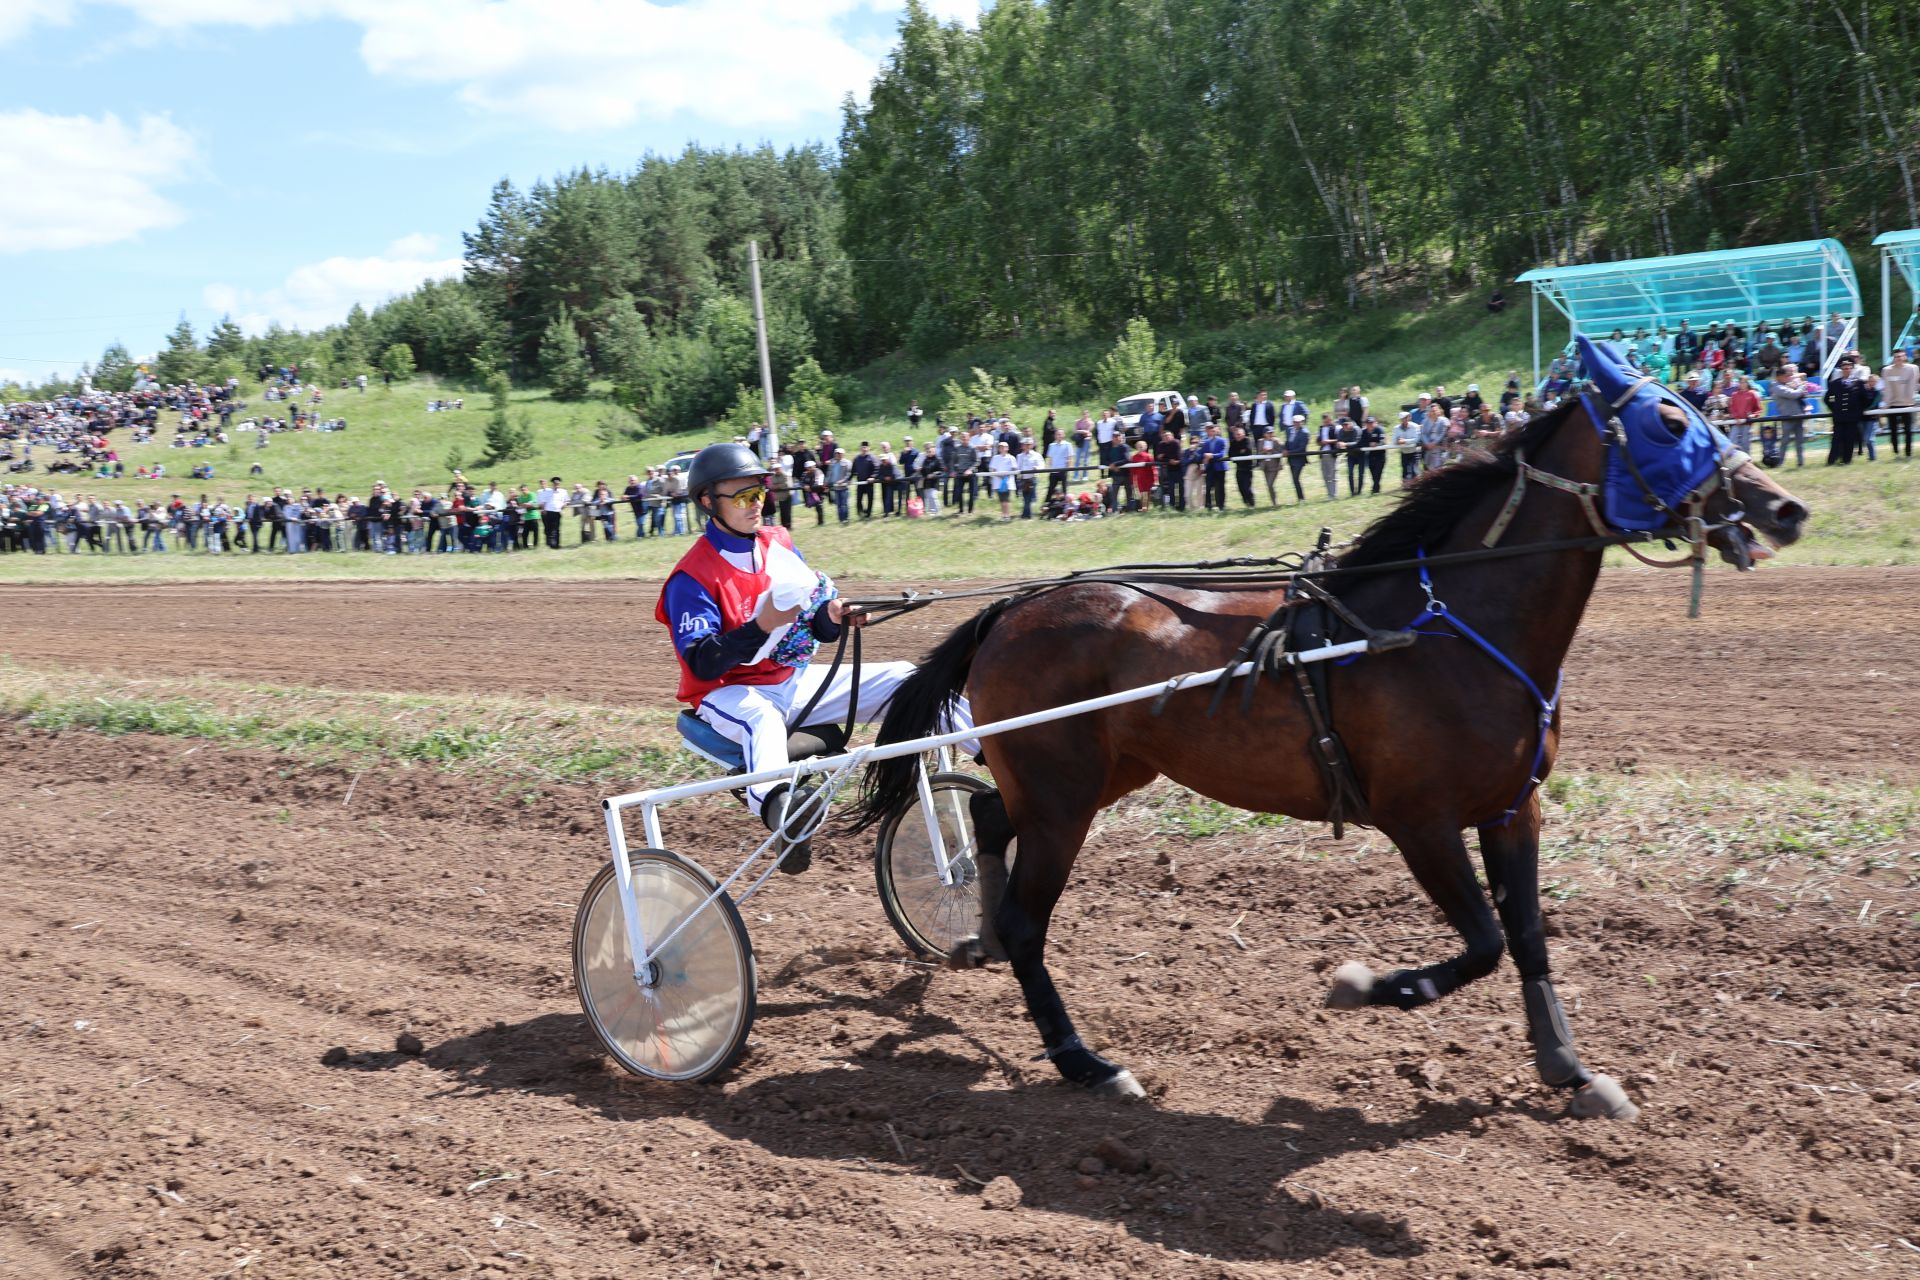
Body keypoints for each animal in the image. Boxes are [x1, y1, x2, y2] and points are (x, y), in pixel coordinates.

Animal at [848, 345, 1804, 1128]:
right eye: (1667, 422)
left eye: (1701, 408)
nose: (1785, 507)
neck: (1445, 627)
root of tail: (1013, 607)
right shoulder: (1420, 821)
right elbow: (1483, 943)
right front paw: (1375, 986)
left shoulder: (1511, 809)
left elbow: (1528, 937)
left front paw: (1569, 1069)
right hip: (1063, 799)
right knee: (1026, 920)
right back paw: (1085, 1060)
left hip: (1093, 780)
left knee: (989, 828)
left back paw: (972, 929)